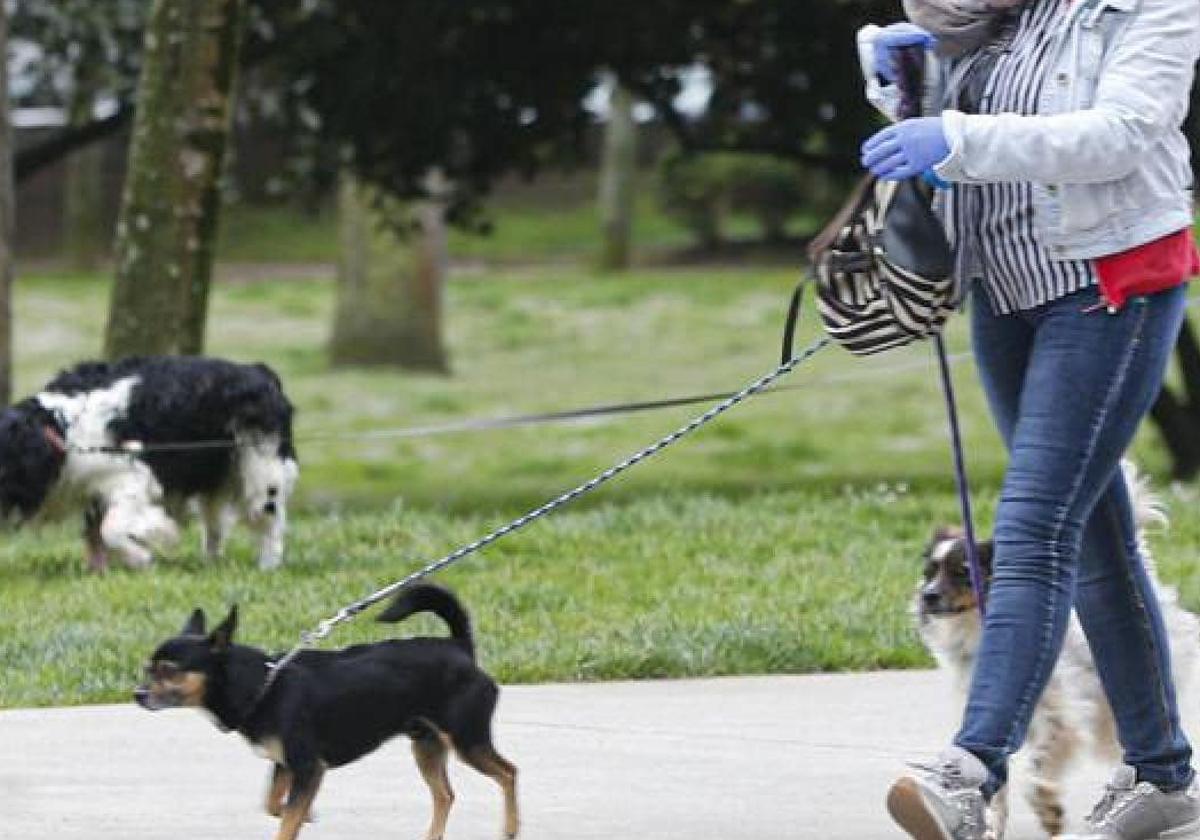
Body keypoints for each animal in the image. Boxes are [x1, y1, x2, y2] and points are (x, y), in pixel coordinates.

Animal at [0, 355, 298, 571]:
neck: (62, 429)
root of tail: (260, 372)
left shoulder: (133, 477)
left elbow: (111, 530)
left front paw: (146, 552)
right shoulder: (93, 490)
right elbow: (97, 534)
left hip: (260, 468)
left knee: (269, 519)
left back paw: (267, 566)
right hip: (217, 476)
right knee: (215, 526)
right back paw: (211, 563)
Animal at [912, 463, 1195, 835]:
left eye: (962, 572)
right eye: (929, 572)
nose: (927, 596)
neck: (976, 632)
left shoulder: (1062, 717)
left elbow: (1040, 763)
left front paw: (1047, 807)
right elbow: (998, 784)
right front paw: (989, 825)